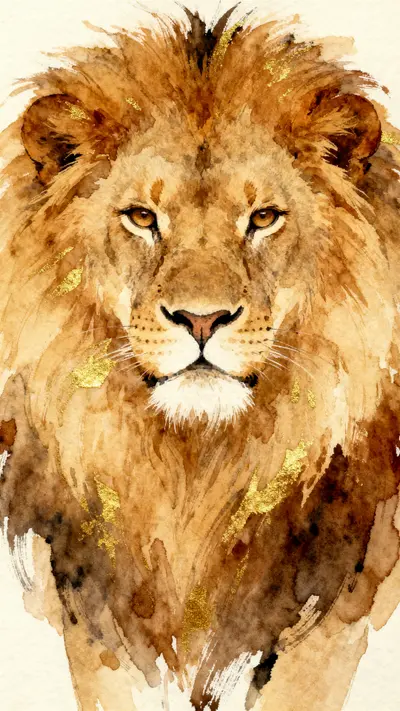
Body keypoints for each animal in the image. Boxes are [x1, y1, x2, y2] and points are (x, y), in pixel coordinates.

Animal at [0, 8, 400, 711]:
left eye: (263, 217)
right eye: (141, 216)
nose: (202, 319)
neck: (197, 472)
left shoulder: (332, 610)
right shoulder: (94, 606)